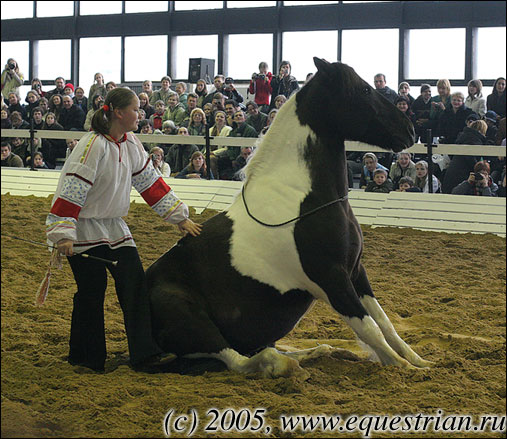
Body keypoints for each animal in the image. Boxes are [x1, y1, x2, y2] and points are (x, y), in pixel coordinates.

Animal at [146, 57, 432, 378]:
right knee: (239, 361)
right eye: (364, 90)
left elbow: (384, 322)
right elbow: (369, 328)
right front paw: (405, 367)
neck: (302, 198)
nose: (410, 130)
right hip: (192, 321)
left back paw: (320, 351)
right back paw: (280, 364)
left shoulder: (355, 271)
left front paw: (419, 361)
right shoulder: (332, 278)